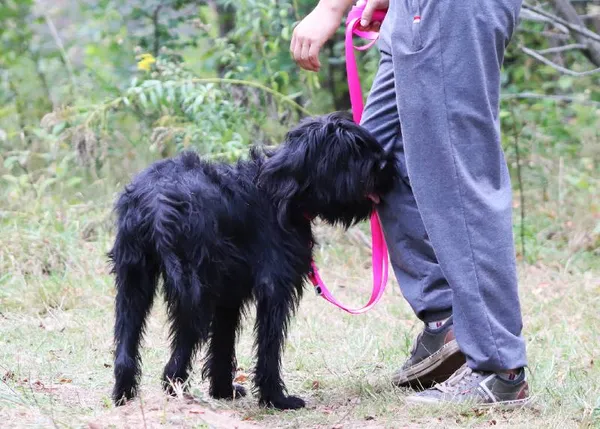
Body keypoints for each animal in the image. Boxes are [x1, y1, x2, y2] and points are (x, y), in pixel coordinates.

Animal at [108, 112, 398, 410]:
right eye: (349, 152)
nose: (385, 164)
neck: (281, 190)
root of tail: (155, 200)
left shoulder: (229, 296)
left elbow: (223, 344)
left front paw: (223, 390)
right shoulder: (274, 287)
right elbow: (268, 344)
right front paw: (275, 398)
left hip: (133, 281)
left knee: (126, 344)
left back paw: (124, 393)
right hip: (195, 293)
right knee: (178, 354)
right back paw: (178, 389)